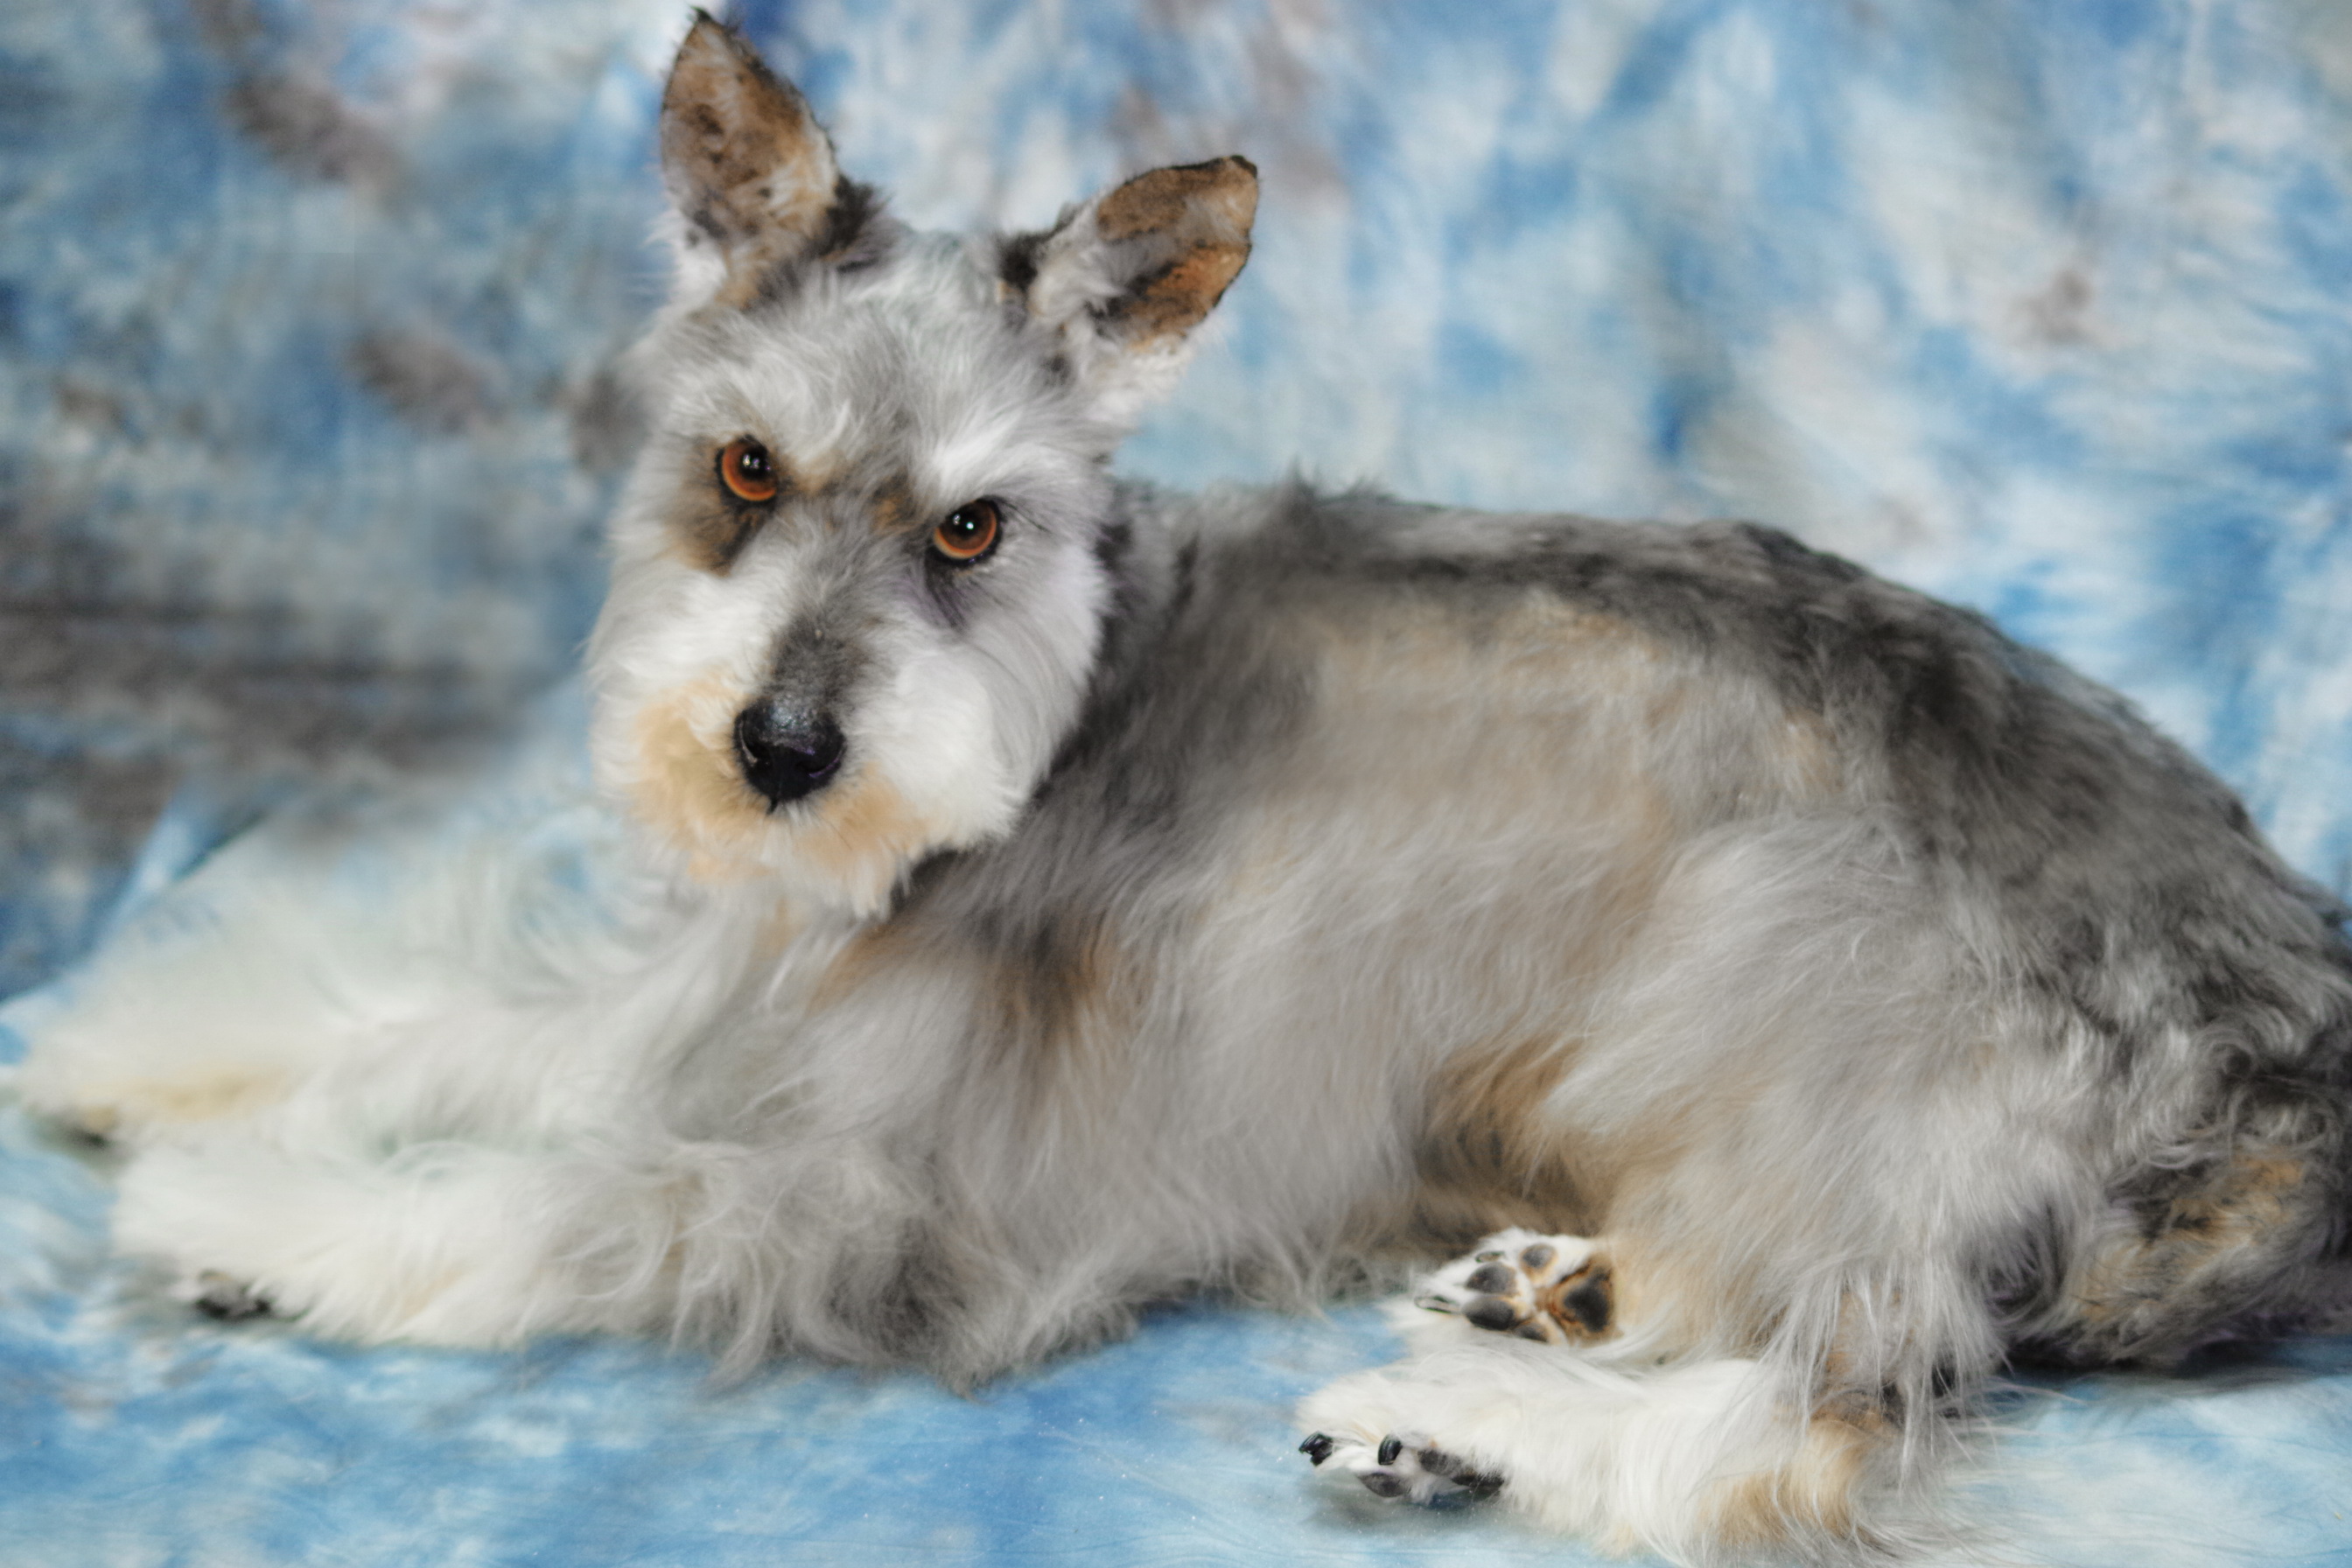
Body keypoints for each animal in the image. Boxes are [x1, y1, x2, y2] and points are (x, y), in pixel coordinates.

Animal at [17, 15, 2352, 1561]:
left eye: (972, 526)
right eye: (746, 466)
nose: (781, 751)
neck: (1038, 736)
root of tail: (2296, 1030)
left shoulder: (909, 1202)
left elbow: (556, 1195)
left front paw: (249, 1217)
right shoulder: (715, 1004)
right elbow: (446, 1028)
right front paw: (131, 1054)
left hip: (1794, 998)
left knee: (1809, 1423)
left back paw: (1463, 1420)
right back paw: (1545, 1295)